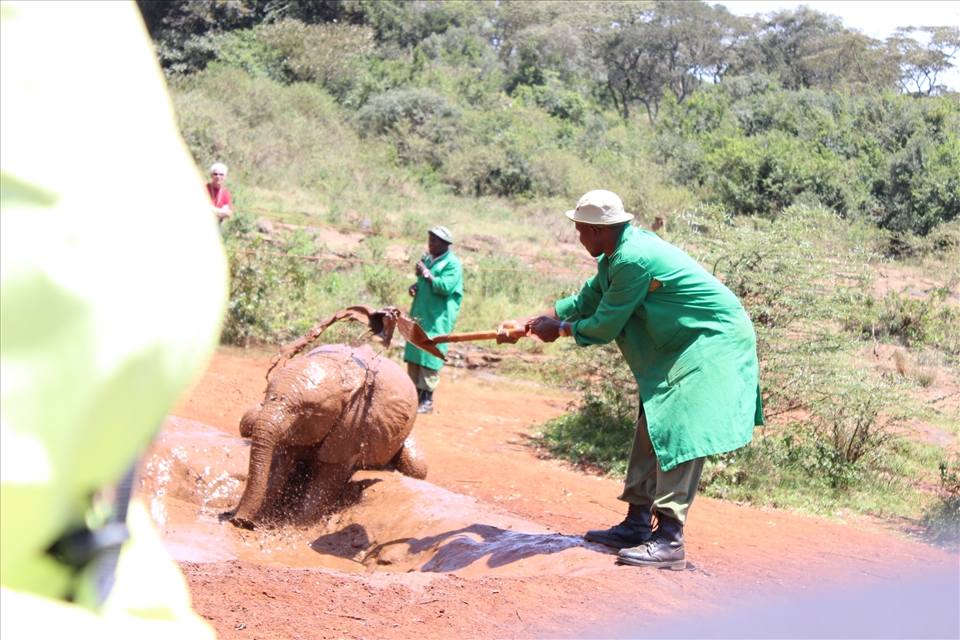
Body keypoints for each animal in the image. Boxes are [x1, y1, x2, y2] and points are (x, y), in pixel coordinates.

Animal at [230, 344, 427, 529]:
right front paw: (259, 518)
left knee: (418, 468)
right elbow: (277, 468)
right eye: (266, 395)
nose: (239, 521)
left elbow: (327, 480)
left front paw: (293, 526)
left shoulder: (354, 427)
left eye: (306, 411)